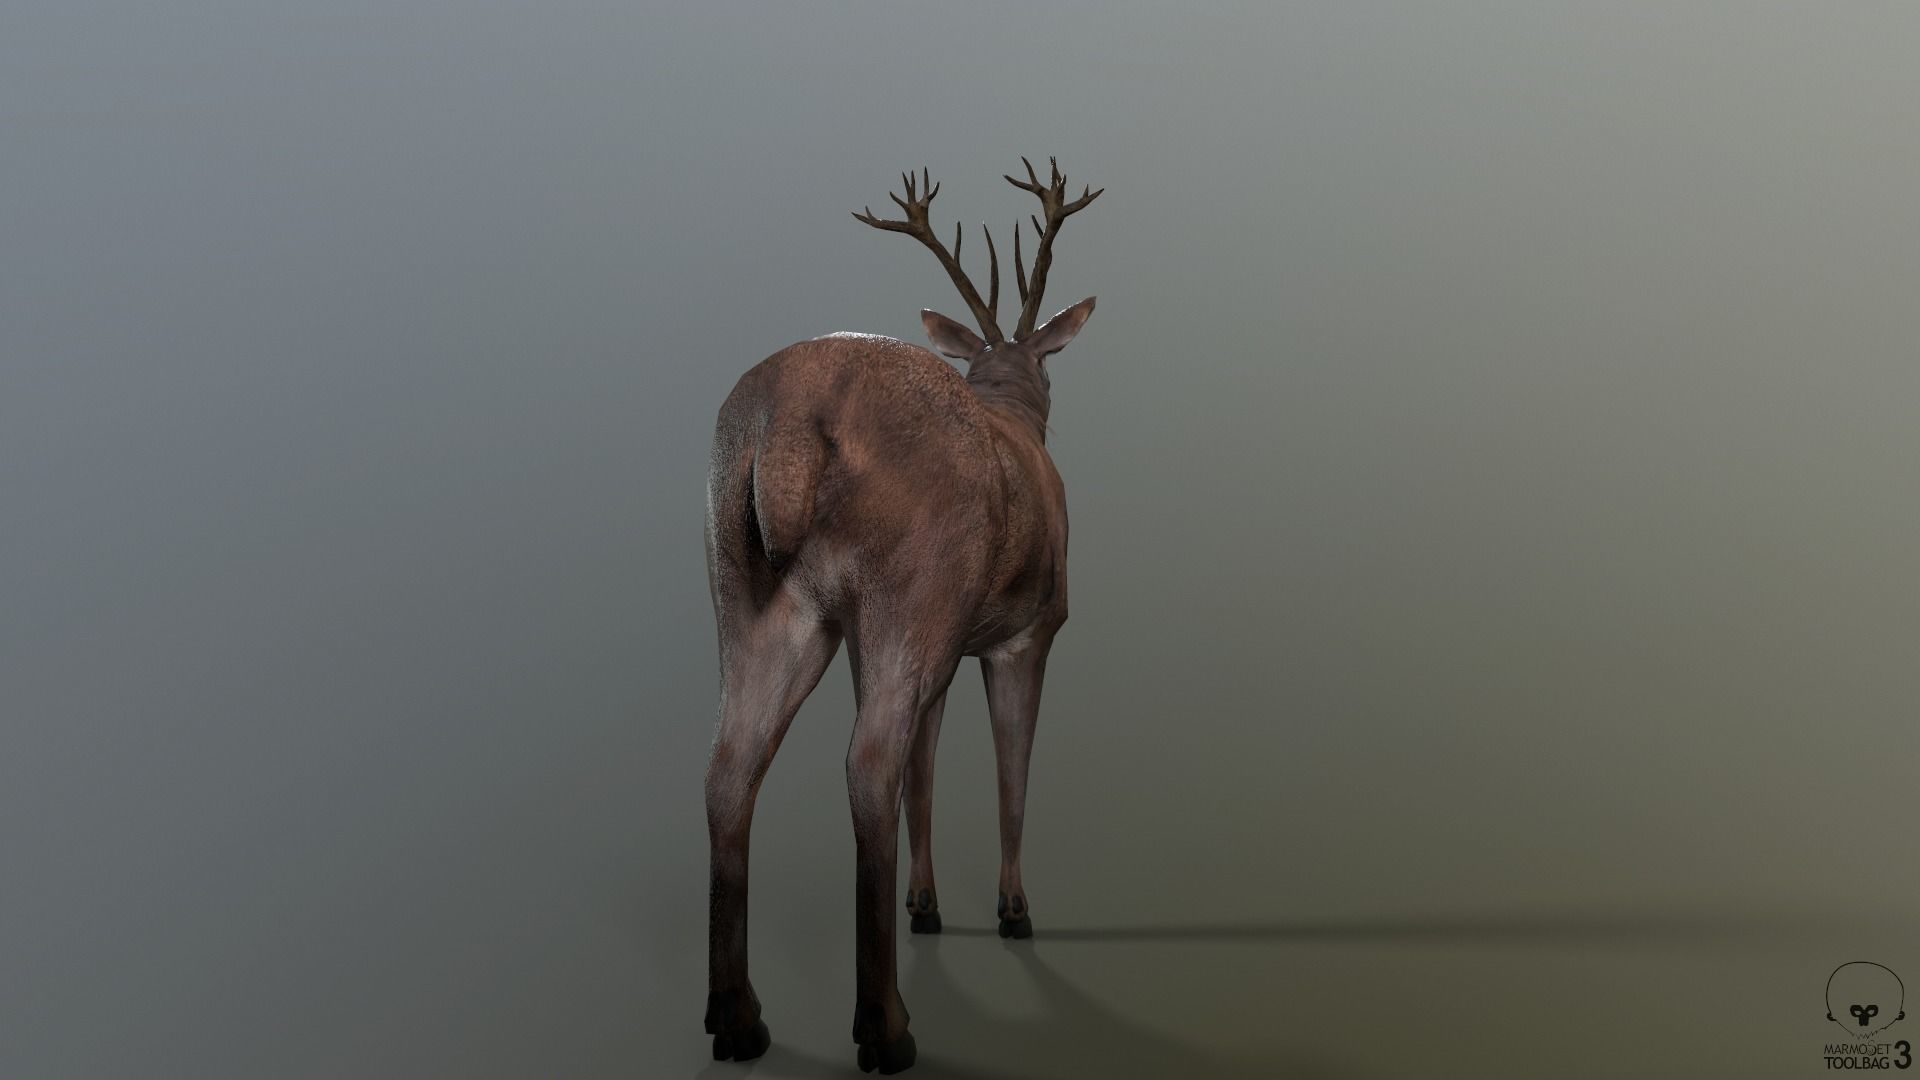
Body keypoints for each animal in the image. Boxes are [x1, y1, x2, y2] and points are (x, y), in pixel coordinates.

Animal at [700, 157, 1102, 1074]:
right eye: (1050, 364)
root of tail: (786, 429)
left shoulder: (932, 645)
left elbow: (928, 769)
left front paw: (927, 904)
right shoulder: (1029, 631)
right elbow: (1010, 769)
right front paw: (1013, 910)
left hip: (762, 597)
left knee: (731, 764)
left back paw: (738, 1020)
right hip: (910, 584)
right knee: (866, 763)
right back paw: (884, 1028)